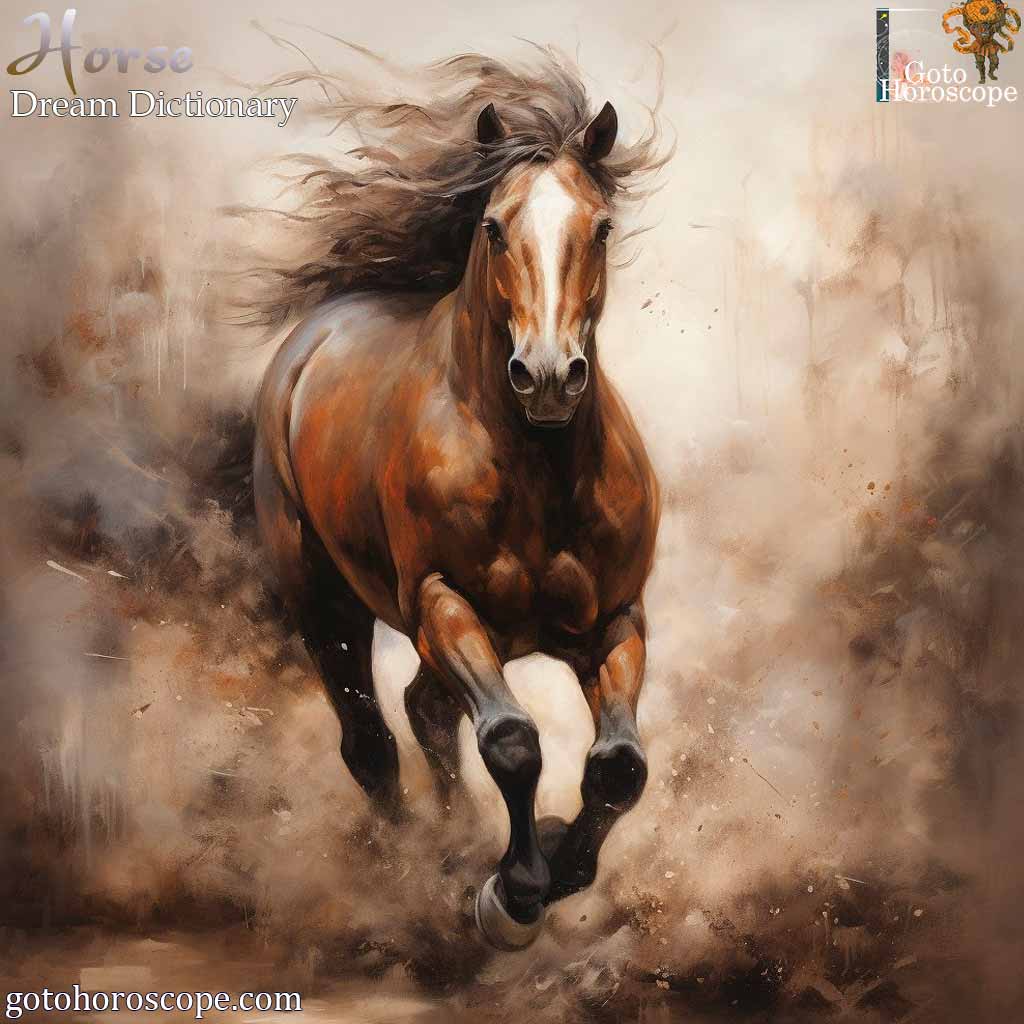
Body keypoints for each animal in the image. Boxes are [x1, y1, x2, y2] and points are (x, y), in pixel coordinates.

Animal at [251, 54, 662, 950]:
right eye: (495, 227)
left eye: (601, 228)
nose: (547, 377)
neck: (537, 472)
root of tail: (313, 340)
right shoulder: (442, 603)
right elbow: (511, 741)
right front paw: (511, 895)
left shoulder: (617, 620)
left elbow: (618, 766)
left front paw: (555, 858)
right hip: (326, 602)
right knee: (371, 741)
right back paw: (405, 872)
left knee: (425, 711)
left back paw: (456, 839)